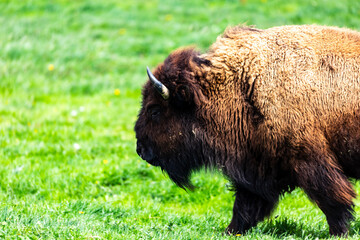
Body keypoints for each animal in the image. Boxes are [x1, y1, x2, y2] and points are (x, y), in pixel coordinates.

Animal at [134, 24, 360, 236]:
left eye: (154, 110)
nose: (141, 150)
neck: (243, 84)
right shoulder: (257, 167)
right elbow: (245, 205)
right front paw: (231, 231)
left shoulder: (309, 160)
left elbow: (333, 199)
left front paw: (339, 232)